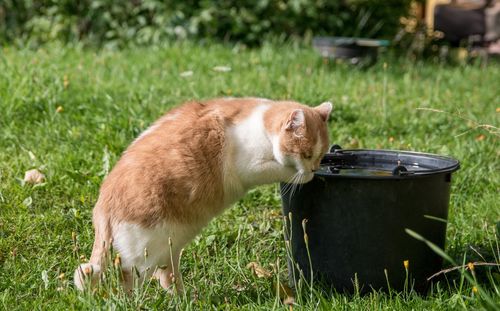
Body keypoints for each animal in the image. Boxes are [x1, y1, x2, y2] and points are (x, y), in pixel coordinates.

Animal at [74, 97, 330, 292]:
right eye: (307, 155)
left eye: (321, 155)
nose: (314, 169)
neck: (261, 126)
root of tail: (103, 202)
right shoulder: (252, 168)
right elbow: (284, 170)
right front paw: (301, 176)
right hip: (145, 253)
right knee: (126, 278)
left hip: (169, 247)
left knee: (166, 276)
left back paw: (183, 298)